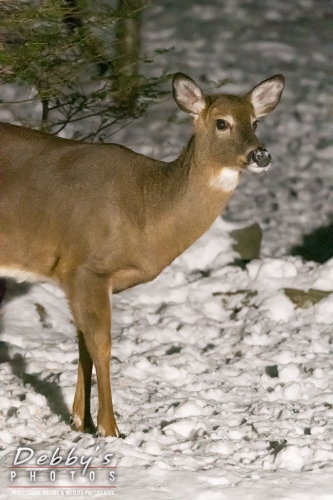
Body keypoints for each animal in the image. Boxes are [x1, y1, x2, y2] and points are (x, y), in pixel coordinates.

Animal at [0, 71, 282, 438]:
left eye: (255, 121)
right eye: (222, 122)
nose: (261, 156)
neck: (146, 210)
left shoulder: (79, 279)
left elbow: (83, 344)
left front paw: (80, 421)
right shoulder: (85, 265)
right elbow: (102, 345)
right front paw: (110, 429)